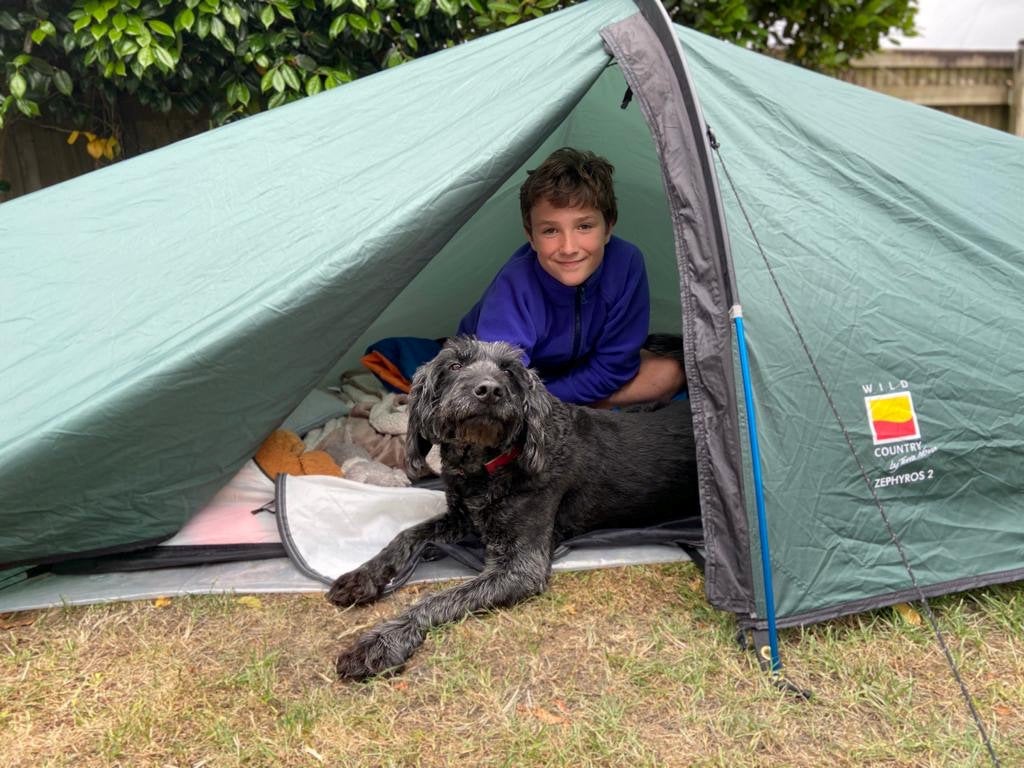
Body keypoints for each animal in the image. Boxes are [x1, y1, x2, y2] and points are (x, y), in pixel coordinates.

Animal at [323, 335, 700, 679]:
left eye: (508, 371)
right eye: (454, 365)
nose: (489, 390)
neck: (486, 465)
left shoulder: (520, 567)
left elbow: (438, 599)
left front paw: (382, 642)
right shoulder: (462, 518)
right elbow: (406, 535)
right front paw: (363, 575)